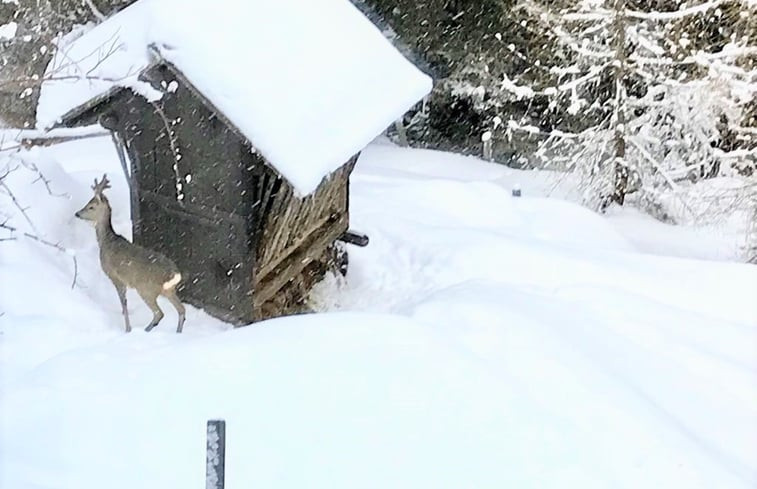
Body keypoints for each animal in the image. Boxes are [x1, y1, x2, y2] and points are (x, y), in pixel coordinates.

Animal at [75, 174, 186, 332]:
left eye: (91, 206)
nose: (77, 213)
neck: (106, 242)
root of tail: (174, 274)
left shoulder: (115, 276)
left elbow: (124, 302)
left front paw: (128, 328)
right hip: (169, 291)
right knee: (181, 310)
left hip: (146, 289)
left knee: (159, 313)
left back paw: (145, 330)